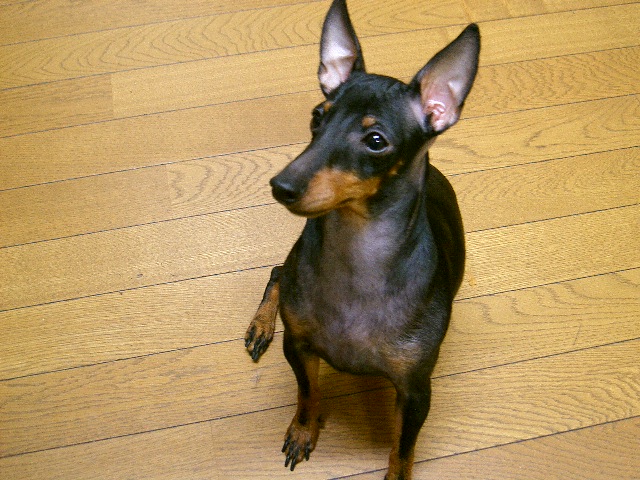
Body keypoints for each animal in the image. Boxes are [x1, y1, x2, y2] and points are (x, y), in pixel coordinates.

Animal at [245, 1, 479, 478]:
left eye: (375, 141)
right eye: (317, 117)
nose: (281, 186)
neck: (359, 245)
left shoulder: (416, 389)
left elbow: (403, 448)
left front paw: (397, 472)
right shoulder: (298, 347)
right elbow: (308, 394)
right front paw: (303, 431)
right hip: (289, 276)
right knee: (278, 271)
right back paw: (261, 325)